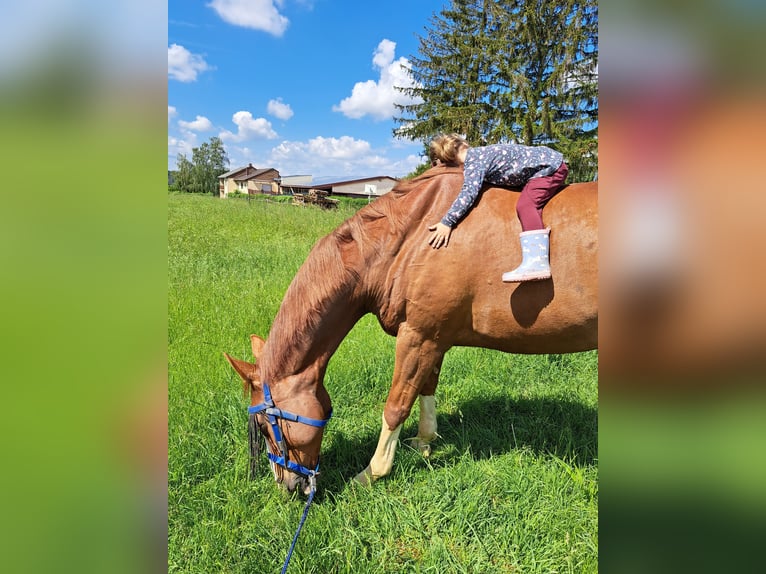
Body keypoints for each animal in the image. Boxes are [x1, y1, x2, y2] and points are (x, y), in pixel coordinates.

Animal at [225, 165, 596, 496]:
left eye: (265, 426)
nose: (289, 485)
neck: (409, 237)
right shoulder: (434, 338)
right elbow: (426, 389)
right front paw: (424, 442)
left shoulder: (417, 336)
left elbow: (396, 405)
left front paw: (372, 473)